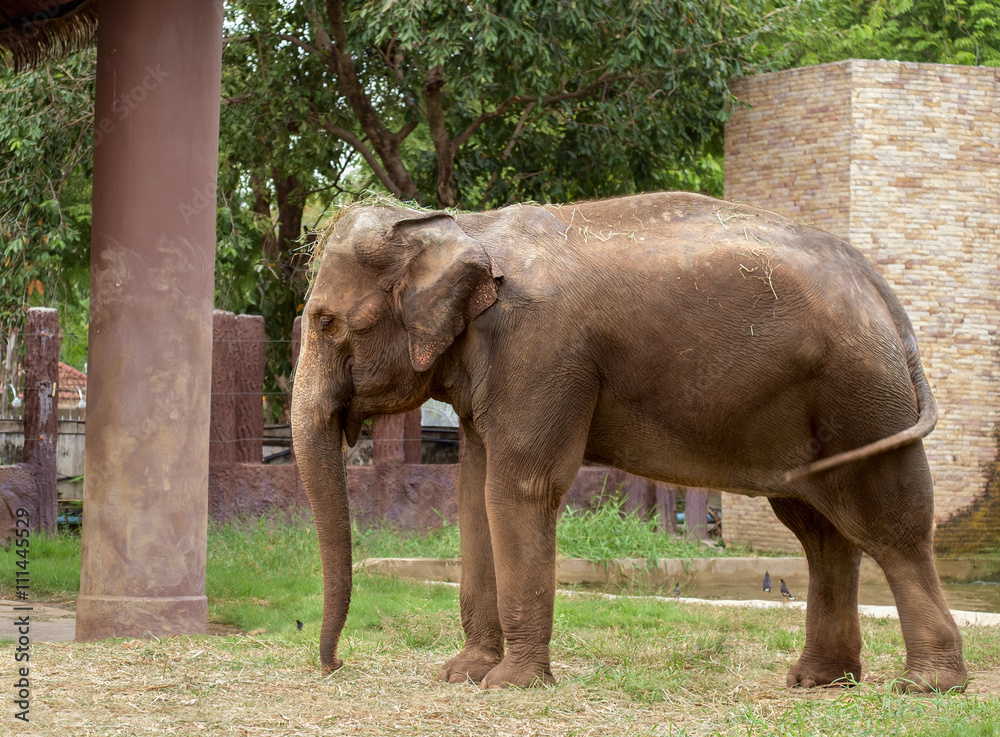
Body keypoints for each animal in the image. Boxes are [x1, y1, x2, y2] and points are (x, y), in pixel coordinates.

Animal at [290, 191, 967, 692]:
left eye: (325, 322)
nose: (333, 665)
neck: (463, 225)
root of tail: (880, 289)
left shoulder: (542, 350)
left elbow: (521, 487)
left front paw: (510, 685)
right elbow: (473, 490)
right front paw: (463, 675)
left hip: (861, 398)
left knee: (889, 524)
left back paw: (928, 686)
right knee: (820, 531)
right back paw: (818, 681)